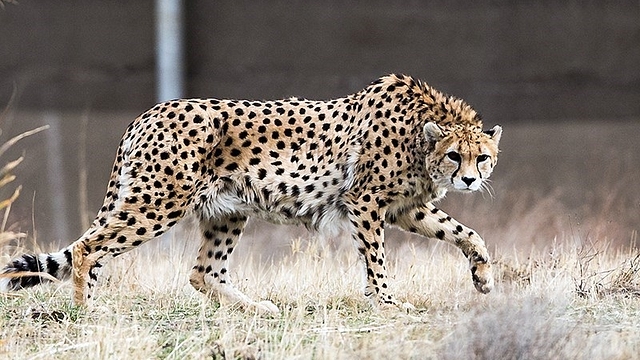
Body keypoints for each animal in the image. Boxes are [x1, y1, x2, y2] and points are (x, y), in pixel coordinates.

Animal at [1, 75, 500, 312]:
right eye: (454, 156)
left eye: (482, 157)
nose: (469, 180)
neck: (422, 132)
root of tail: (147, 113)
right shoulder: (365, 203)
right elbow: (377, 261)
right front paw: (388, 304)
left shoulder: (406, 208)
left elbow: (468, 233)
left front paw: (483, 279)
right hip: (158, 203)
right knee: (88, 249)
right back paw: (87, 312)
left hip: (226, 209)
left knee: (203, 273)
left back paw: (258, 307)